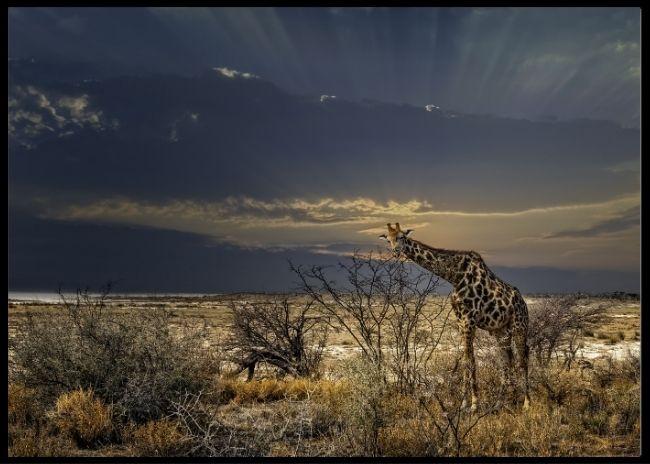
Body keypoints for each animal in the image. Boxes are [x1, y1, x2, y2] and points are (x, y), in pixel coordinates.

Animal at [379, 223, 530, 411]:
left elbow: (469, 360)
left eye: (402, 237)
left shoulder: (469, 319)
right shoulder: (460, 320)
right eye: (388, 240)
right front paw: (466, 403)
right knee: (507, 361)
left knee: (522, 360)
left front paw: (472, 404)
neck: (455, 276)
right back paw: (503, 402)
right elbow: (468, 360)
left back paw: (526, 404)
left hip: (519, 326)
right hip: (500, 331)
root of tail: (523, 303)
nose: (396, 251)